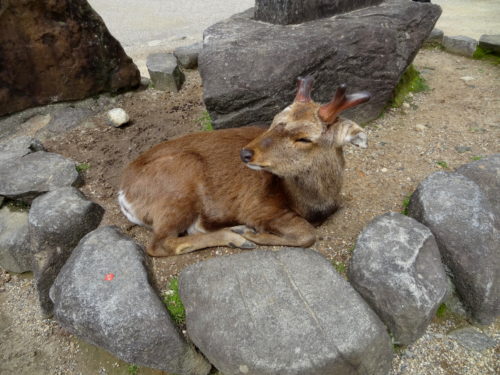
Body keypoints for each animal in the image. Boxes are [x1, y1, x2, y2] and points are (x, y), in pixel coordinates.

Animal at [119, 77, 372, 258]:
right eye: (274, 119)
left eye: (304, 138)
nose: (246, 153)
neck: (313, 204)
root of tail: (124, 194)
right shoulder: (258, 207)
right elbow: (308, 234)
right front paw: (254, 234)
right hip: (180, 182)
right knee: (159, 244)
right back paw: (237, 237)